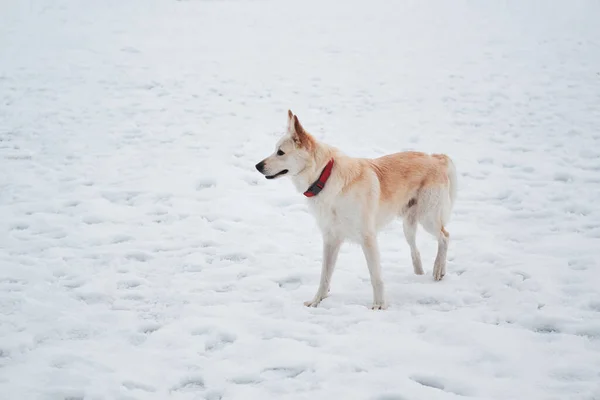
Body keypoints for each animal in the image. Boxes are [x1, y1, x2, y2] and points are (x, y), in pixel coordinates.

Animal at [255, 111, 458, 310]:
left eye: (280, 152)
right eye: (275, 149)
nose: (257, 166)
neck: (324, 177)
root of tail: (436, 158)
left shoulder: (368, 238)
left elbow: (375, 277)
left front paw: (379, 305)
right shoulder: (330, 239)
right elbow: (324, 276)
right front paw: (317, 301)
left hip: (428, 218)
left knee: (445, 236)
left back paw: (438, 269)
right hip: (408, 225)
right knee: (416, 250)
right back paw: (419, 275)